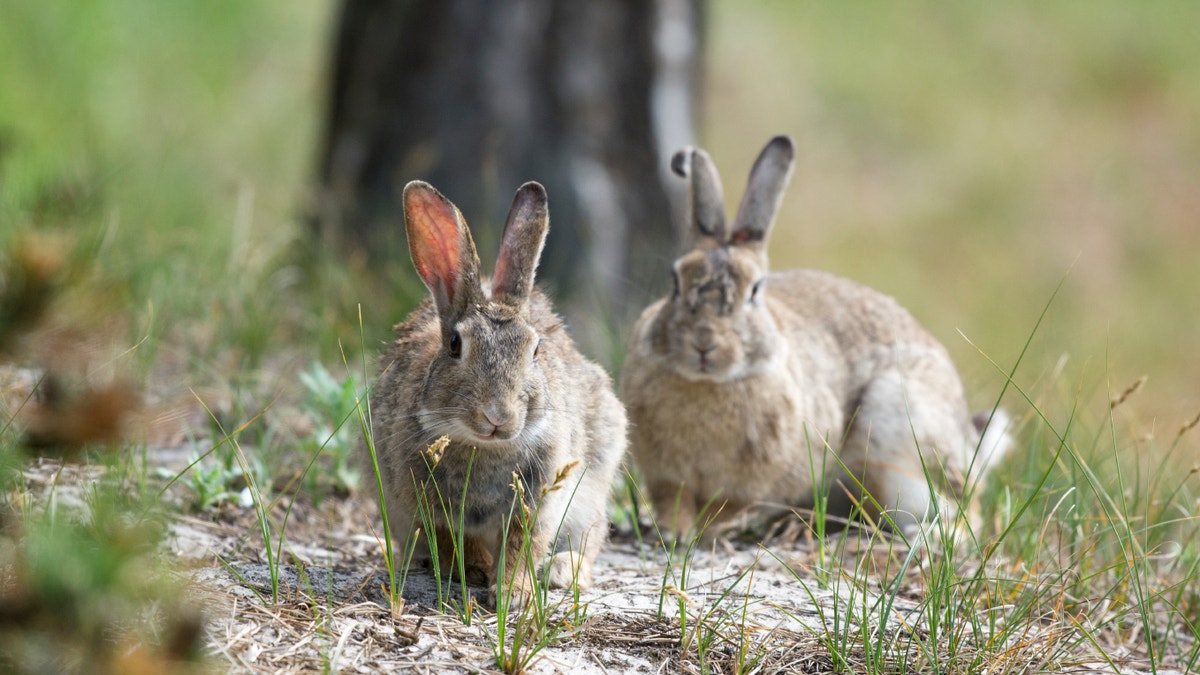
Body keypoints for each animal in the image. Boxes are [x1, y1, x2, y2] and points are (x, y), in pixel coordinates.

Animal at [364, 178, 628, 598]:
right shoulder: (424, 501)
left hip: (593, 486)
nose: (497, 416)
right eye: (455, 344)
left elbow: (525, 542)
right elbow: (453, 537)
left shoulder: (539, 499)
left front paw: (512, 592)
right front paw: (476, 570)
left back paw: (561, 570)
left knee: (591, 538)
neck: (483, 448)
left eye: (535, 349)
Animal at [624, 135, 1008, 535]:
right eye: (675, 281)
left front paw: (714, 529)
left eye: (755, 291)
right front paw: (677, 533)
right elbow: (675, 503)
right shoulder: (667, 477)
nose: (703, 344)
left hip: (904, 436)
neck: (710, 383)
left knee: (967, 512)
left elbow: (730, 506)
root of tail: (969, 444)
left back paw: (926, 535)